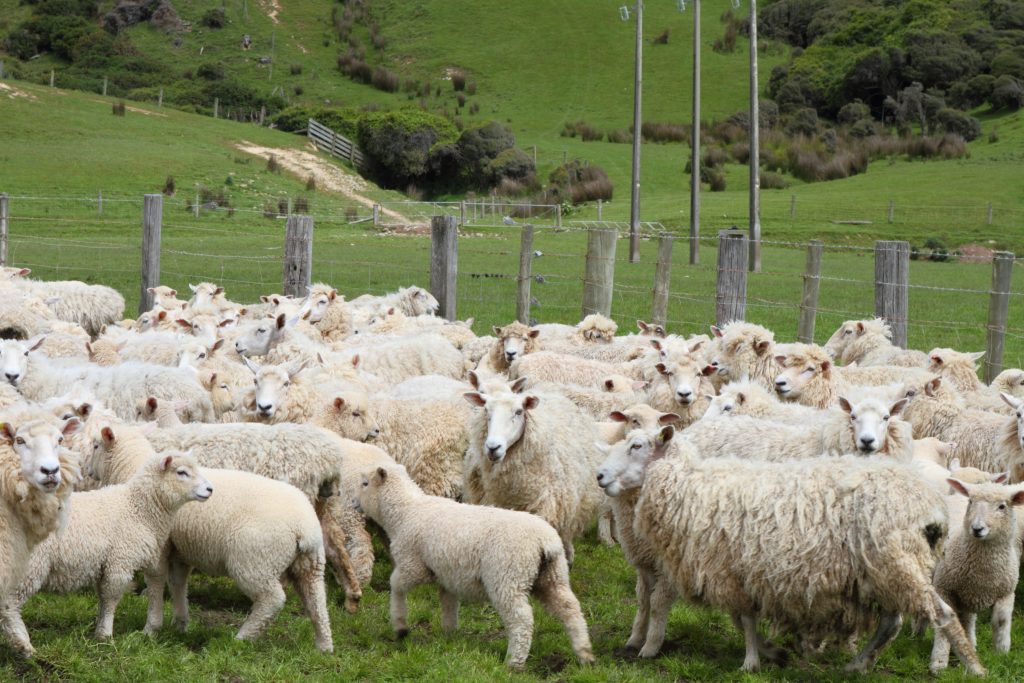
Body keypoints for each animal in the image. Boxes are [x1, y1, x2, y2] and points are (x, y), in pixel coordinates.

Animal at [8, 452, 211, 648]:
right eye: (182, 472)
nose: (210, 489)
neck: (138, 508)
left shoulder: (105, 564)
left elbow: (102, 599)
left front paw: (99, 631)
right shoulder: (120, 561)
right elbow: (111, 598)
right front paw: (106, 635)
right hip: (30, 565)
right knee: (10, 605)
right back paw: (23, 645)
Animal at [86, 433, 334, 652]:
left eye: (96, 446)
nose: (87, 470)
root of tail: (305, 526)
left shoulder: (161, 547)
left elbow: (156, 581)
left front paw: (151, 628)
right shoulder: (180, 551)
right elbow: (178, 583)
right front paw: (180, 623)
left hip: (255, 562)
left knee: (272, 600)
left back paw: (242, 637)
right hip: (309, 564)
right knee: (317, 603)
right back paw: (324, 646)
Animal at [355, 462, 594, 670]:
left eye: (365, 483)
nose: (354, 503)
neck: (405, 512)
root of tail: (546, 542)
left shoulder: (413, 564)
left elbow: (395, 585)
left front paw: (400, 626)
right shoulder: (446, 574)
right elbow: (448, 603)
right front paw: (449, 634)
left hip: (508, 576)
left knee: (522, 620)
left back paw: (514, 662)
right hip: (553, 576)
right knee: (570, 609)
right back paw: (585, 653)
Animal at [633, 425, 983, 674]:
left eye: (636, 446)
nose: (608, 479)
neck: (691, 488)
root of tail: (931, 507)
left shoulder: (732, 573)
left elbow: (743, 620)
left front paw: (756, 659)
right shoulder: (742, 574)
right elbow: (744, 620)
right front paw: (770, 652)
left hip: (895, 563)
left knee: (940, 613)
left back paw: (973, 667)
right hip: (886, 570)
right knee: (893, 621)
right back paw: (858, 664)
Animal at [931, 479, 1024, 673]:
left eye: (1002, 506)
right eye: (971, 502)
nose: (977, 528)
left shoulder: (1006, 592)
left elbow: (1001, 621)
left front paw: (1002, 653)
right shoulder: (944, 589)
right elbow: (944, 627)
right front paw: (939, 662)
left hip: (967, 595)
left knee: (967, 619)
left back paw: (970, 645)